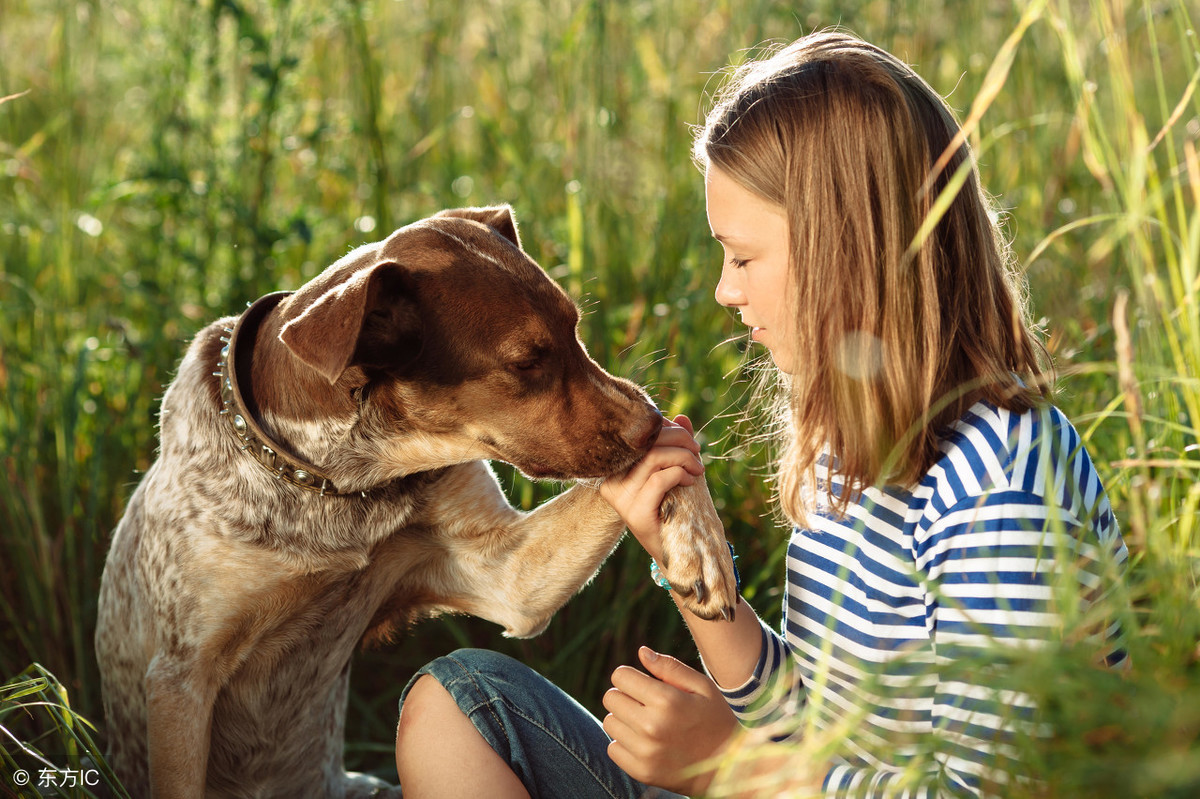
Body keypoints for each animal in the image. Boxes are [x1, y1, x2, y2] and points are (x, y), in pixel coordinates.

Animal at [93, 205, 734, 796]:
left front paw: (701, 547)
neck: (337, 485)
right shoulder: (181, 680)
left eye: (576, 326)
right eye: (527, 361)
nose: (648, 422)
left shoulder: (506, 578)